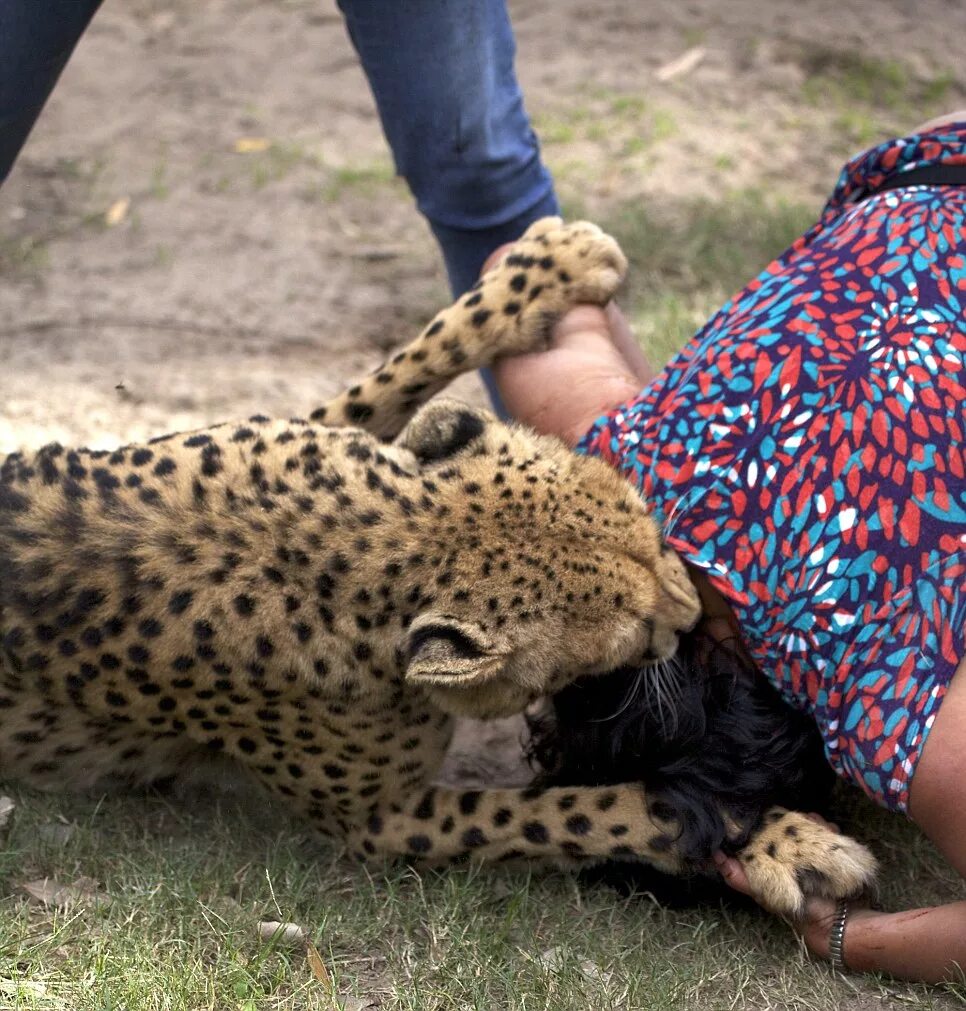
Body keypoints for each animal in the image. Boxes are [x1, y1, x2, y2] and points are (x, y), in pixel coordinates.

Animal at [1, 221, 877, 926]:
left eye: (649, 524)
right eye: (631, 632)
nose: (696, 612)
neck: (369, 540)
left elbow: (393, 372)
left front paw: (546, 268)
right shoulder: (383, 821)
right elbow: (586, 807)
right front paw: (775, 837)